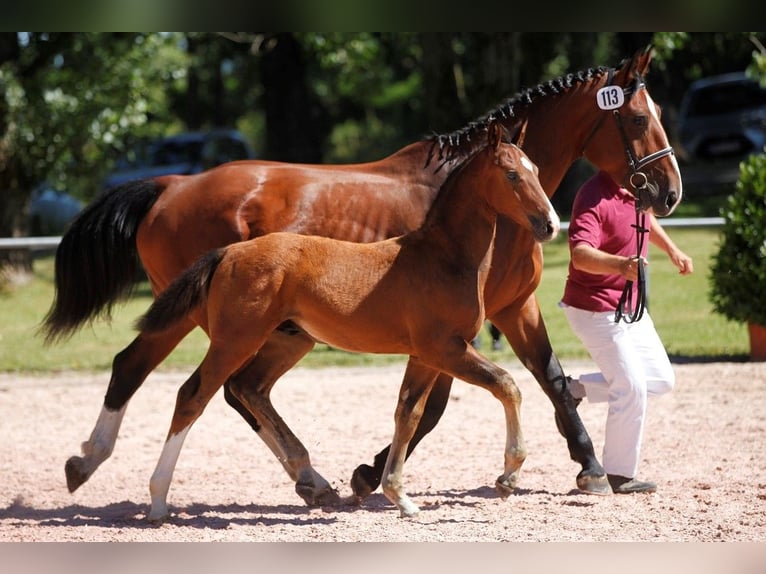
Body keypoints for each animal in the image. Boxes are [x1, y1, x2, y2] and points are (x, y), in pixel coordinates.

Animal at [45, 45, 680, 504]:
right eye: (637, 117)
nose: (669, 191)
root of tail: (170, 186)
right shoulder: (465, 329)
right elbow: (451, 404)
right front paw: (375, 475)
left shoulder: (511, 309)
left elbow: (546, 380)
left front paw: (593, 468)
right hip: (208, 320)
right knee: (149, 369)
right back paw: (90, 462)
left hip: (281, 333)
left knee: (240, 388)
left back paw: (309, 479)